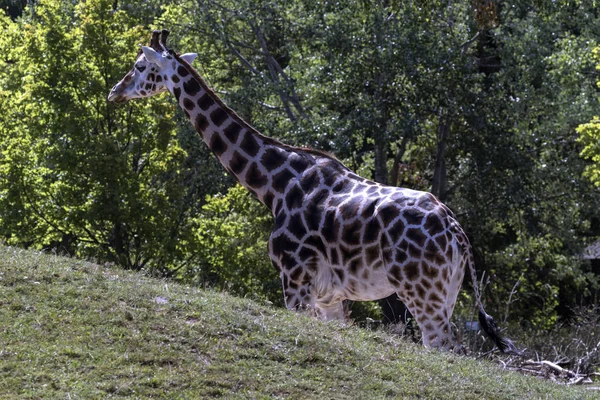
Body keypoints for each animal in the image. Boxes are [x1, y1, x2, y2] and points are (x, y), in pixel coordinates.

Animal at [109, 29, 520, 352]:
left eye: (140, 66)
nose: (115, 92)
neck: (274, 185)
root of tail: (457, 232)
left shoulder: (295, 281)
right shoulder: (328, 297)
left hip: (423, 293)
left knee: (443, 346)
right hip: (446, 293)